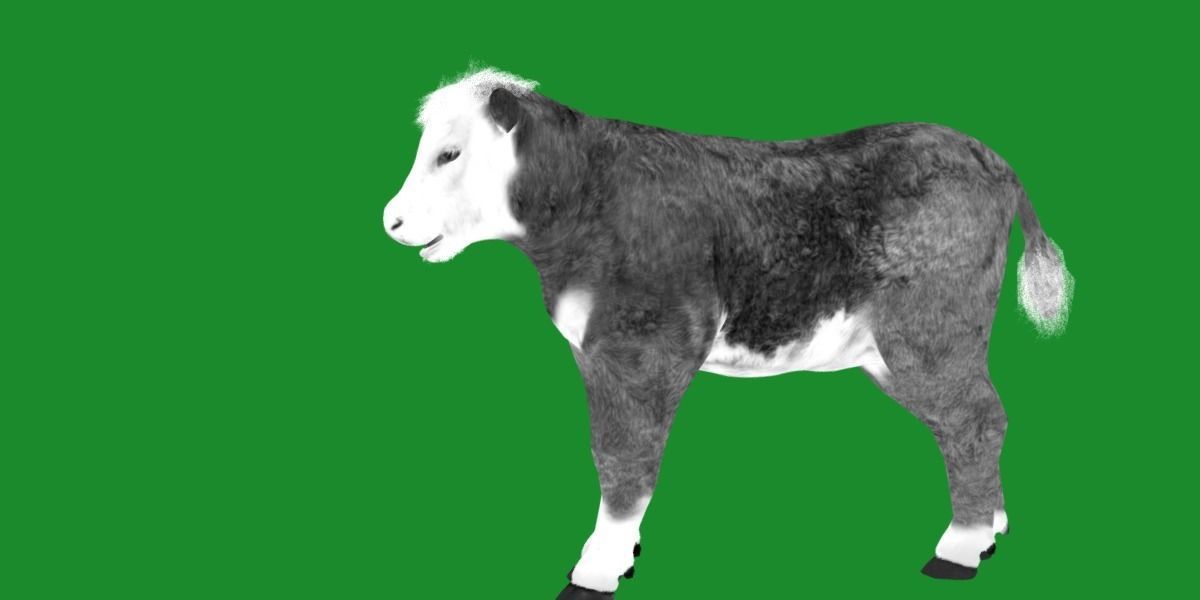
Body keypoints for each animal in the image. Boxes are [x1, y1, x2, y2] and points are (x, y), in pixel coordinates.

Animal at [382, 68, 1073, 598]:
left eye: (449, 154)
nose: (390, 220)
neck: (587, 199)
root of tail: (988, 156)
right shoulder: (596, 354)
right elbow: (610, 452)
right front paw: (623, 553)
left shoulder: (643, 349)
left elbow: (625, 458)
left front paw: (597, 567)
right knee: (977, 419)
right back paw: (992, 526)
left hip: (928, 333)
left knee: (975, 421)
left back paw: (960, 549)